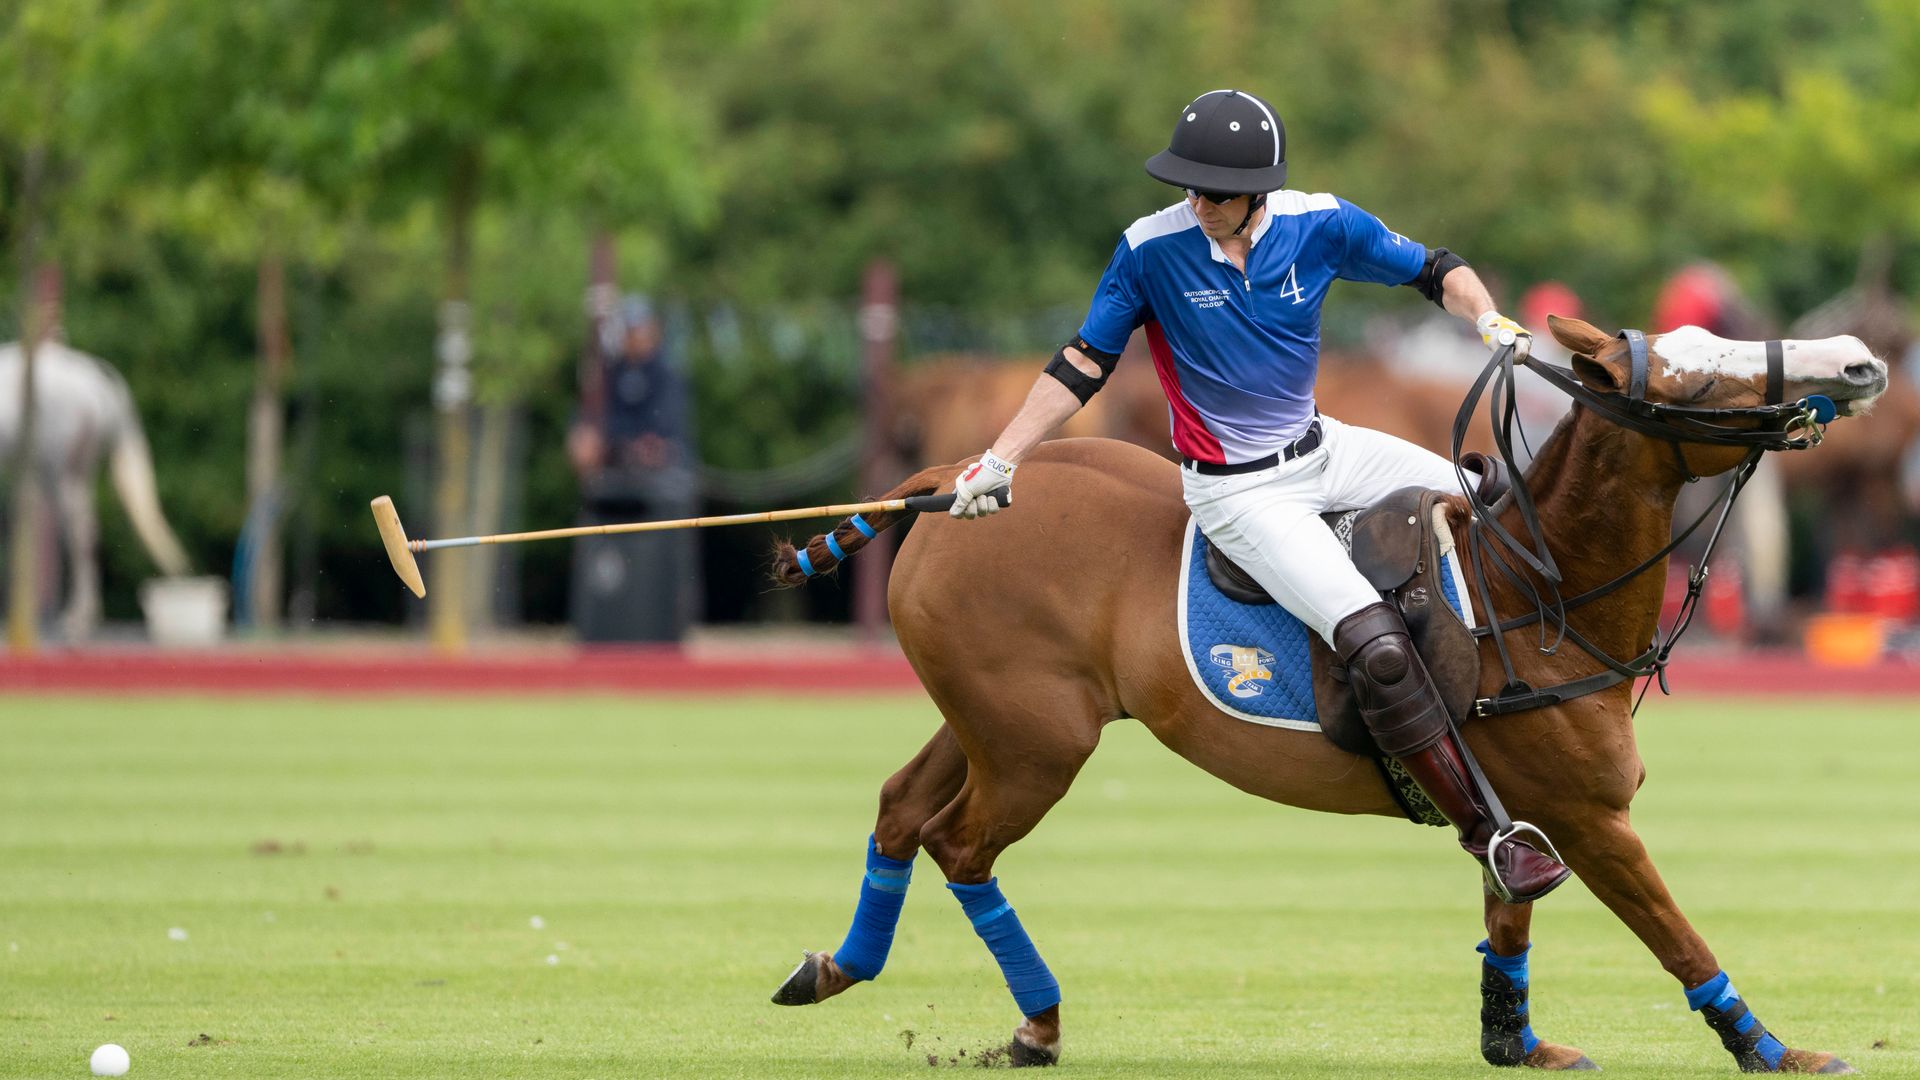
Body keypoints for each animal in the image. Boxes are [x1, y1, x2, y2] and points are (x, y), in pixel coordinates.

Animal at [0, 340, 189, 634]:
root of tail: (93, 379)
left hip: (60, 471)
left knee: (78, 533)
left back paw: (77, 617)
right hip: (69, 470)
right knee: (82, 531)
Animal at [768, 317, 1889, 1068]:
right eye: (1701, 371)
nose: (1858, 359)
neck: (1535, 592)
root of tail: (956, 480)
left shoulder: (1523, 812)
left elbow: (1510, 913)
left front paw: (1517, 1041)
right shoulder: (1590, 818)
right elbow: (1675, 934)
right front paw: (1774, 1048)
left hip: (992, 719)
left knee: (901, 810)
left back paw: (834, 967)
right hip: (1036, 744)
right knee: (959, 845)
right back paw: (1038, 1022)